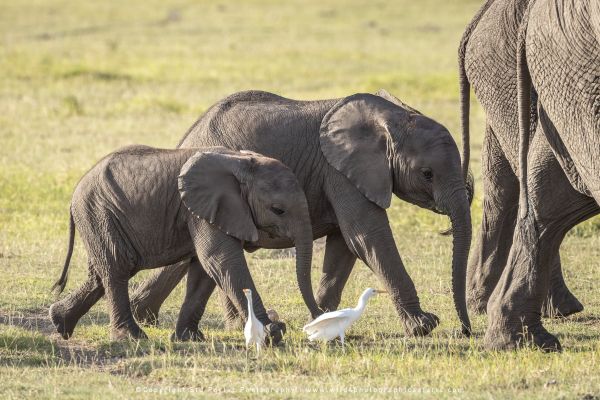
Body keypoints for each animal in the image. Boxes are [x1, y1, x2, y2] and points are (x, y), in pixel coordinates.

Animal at [48, 145, 318, 342]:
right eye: (278, 210)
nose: (316, 320)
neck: (243, 163)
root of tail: (75, 192)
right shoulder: (202, 209)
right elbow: (221, 259)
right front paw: (272, 333)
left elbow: (204, 269)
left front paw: (189, 338)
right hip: (98, 211)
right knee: (117, 267)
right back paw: (132, 338)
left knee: (102, 272)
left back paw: (60, 324)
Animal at [130, 90, 474, 338]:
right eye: (427, 174)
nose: (465, 331)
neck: (393, 115)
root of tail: (187, 137)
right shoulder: (340, 171)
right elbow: (365, 235)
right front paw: (423, 326)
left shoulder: (343, 174)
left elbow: (344, 246)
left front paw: (322, 321)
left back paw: (147, 316)